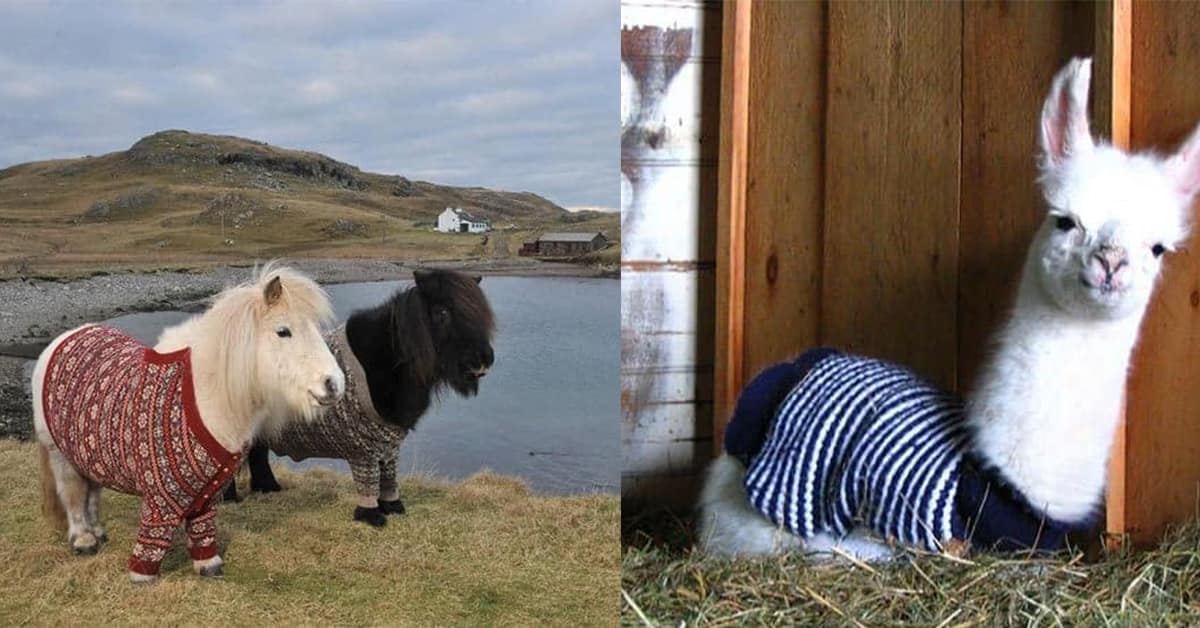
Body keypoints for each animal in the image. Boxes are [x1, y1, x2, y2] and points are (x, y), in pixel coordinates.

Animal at [32, 264, 346, 582]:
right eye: (284, 331)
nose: (334, 384)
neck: (203, 396)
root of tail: (62, 340)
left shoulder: (207, 493)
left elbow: (203, 529)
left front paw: (208, 565)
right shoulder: (159, 498)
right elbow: (153, 536)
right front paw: (142, 576)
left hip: (88, 454)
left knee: (92, 492)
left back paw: (98, 532)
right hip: (60, 454)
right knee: (72, 493)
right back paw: (84, 540)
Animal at [224, 268, 496, 527]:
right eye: (442, 312)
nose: (484, 359)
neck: (387, 359)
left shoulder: (389, 445)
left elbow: (388, 478)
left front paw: (393, 506)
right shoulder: (364, 449)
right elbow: (369, 482)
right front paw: (371, 516)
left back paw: (269, 488)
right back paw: (231, 499)